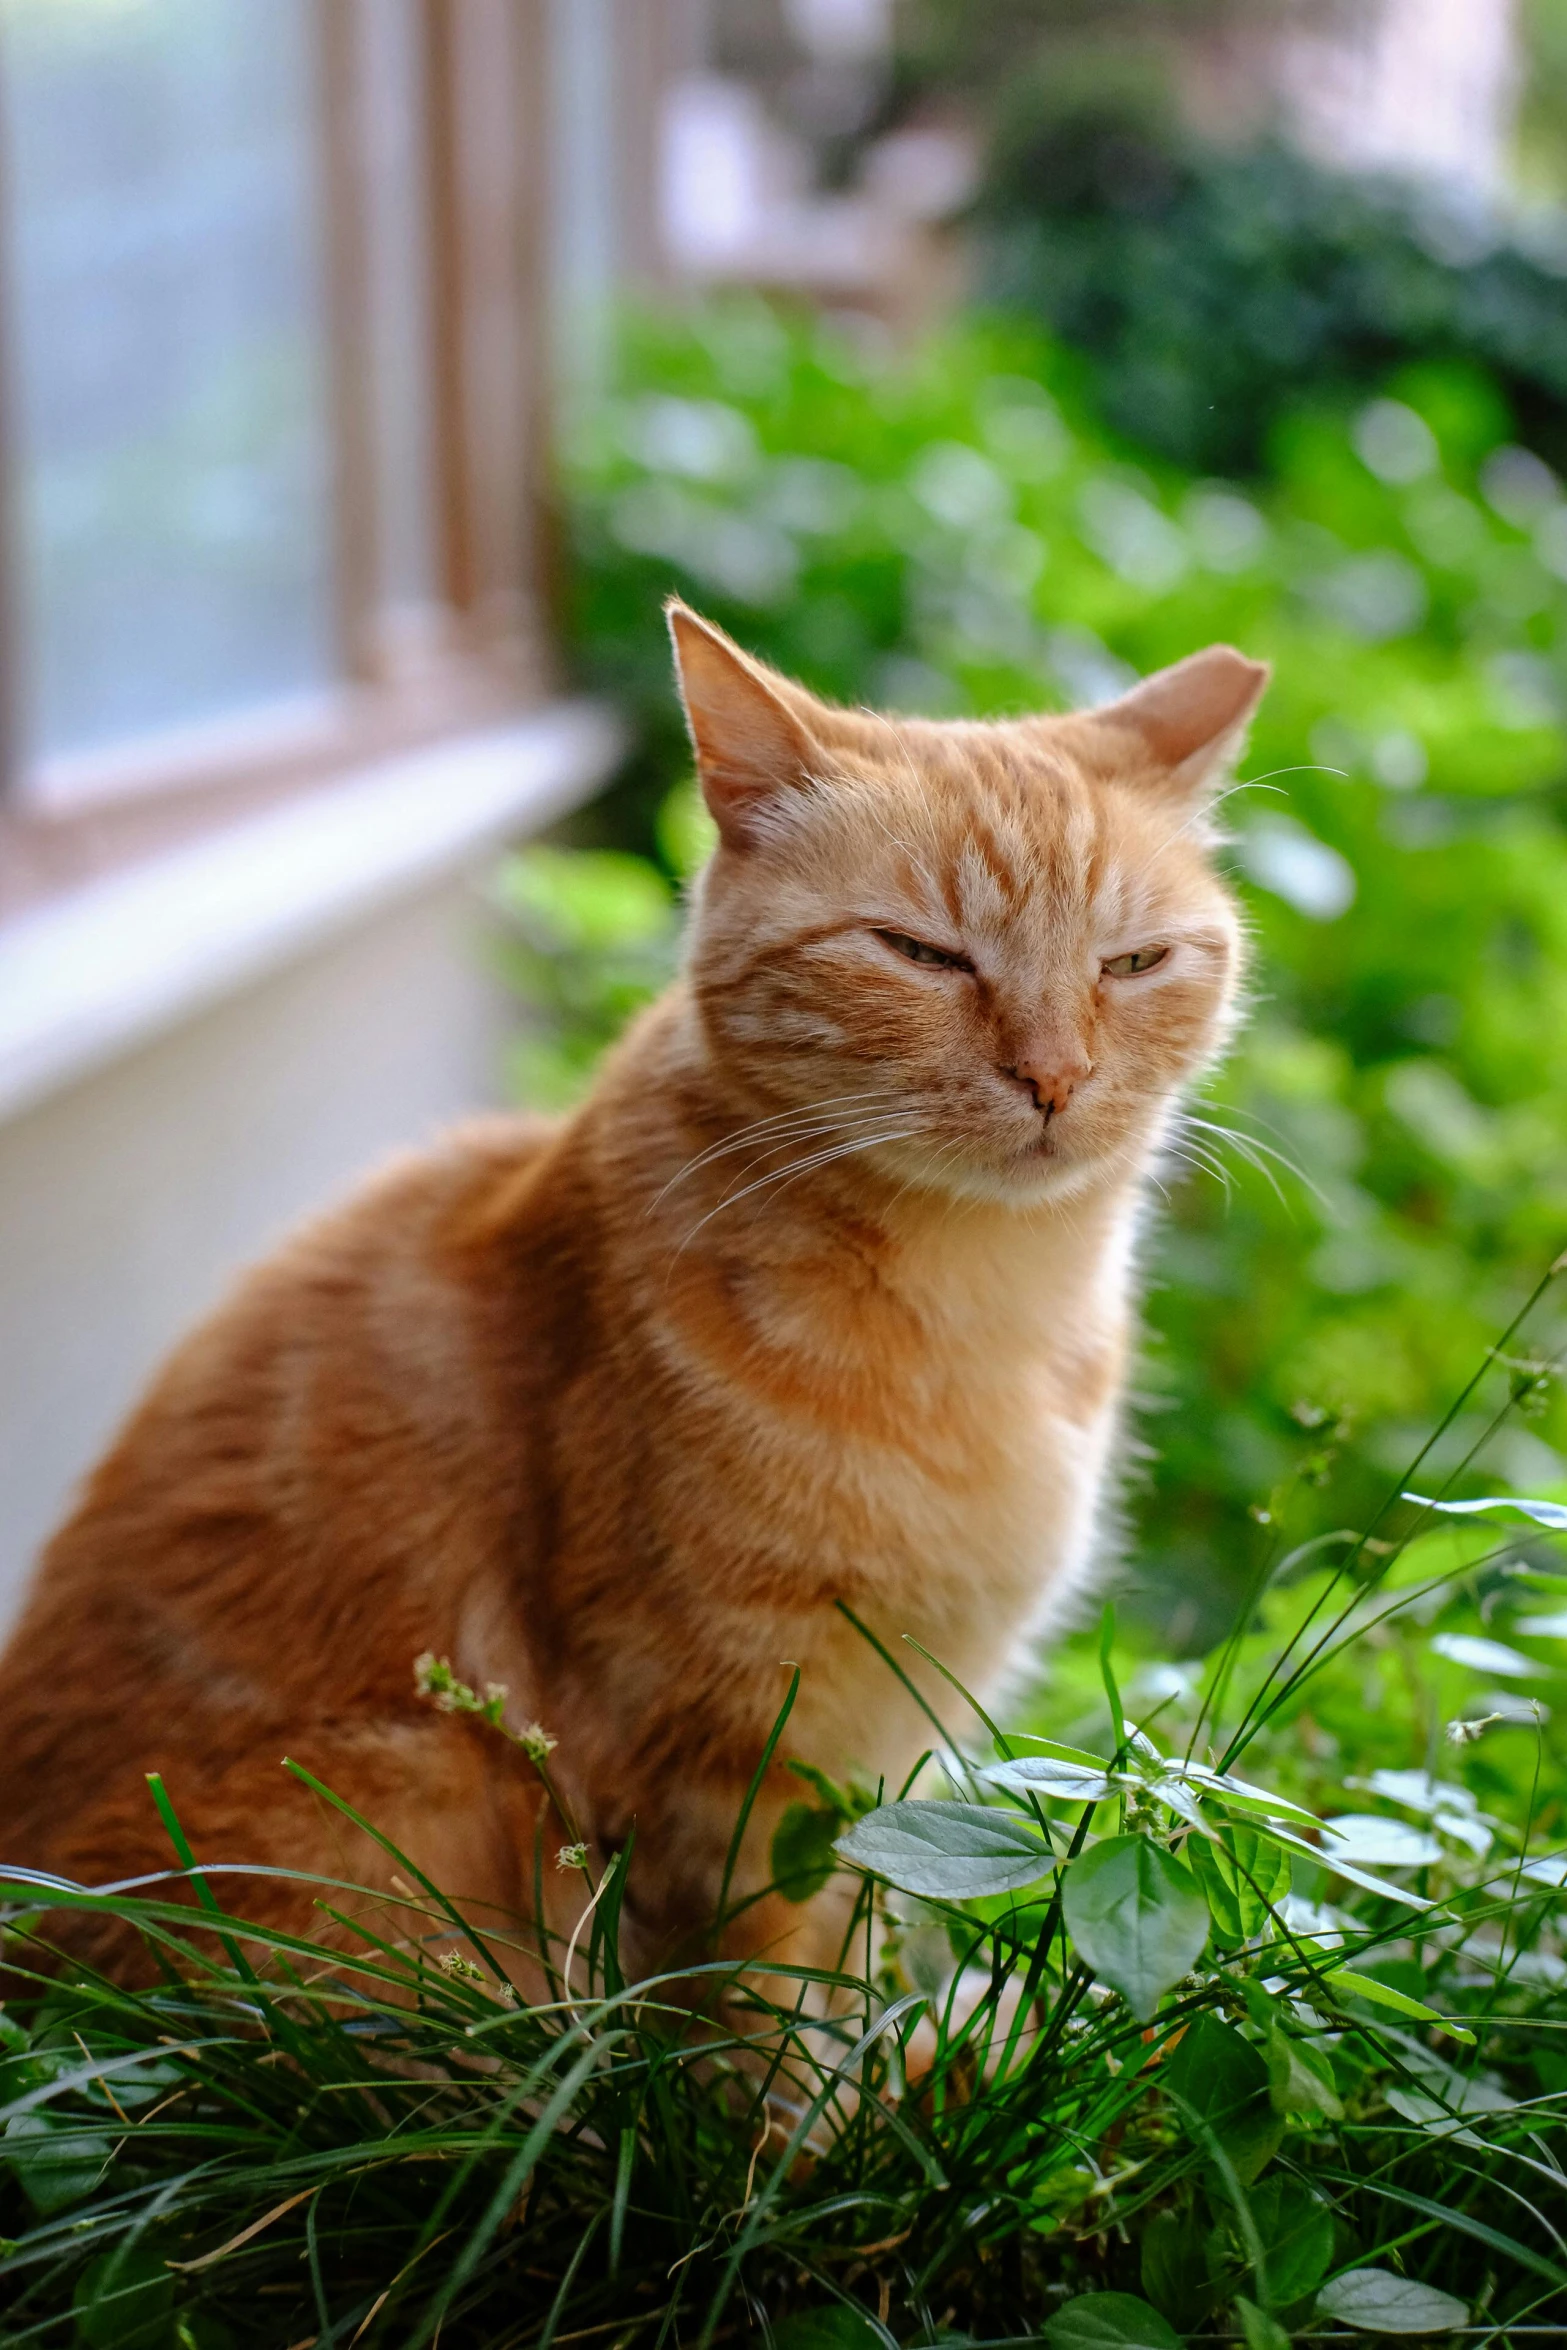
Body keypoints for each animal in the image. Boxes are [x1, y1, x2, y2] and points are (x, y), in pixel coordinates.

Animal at [0, 601, 1268, 1983]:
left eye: (1132, 962)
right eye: (920, 954)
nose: (1054, 1075)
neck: (989, 1301)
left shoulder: (887, 1768)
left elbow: (864, 1956)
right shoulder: (721, 1757)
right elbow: (770, 2000)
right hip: (415, 1807)